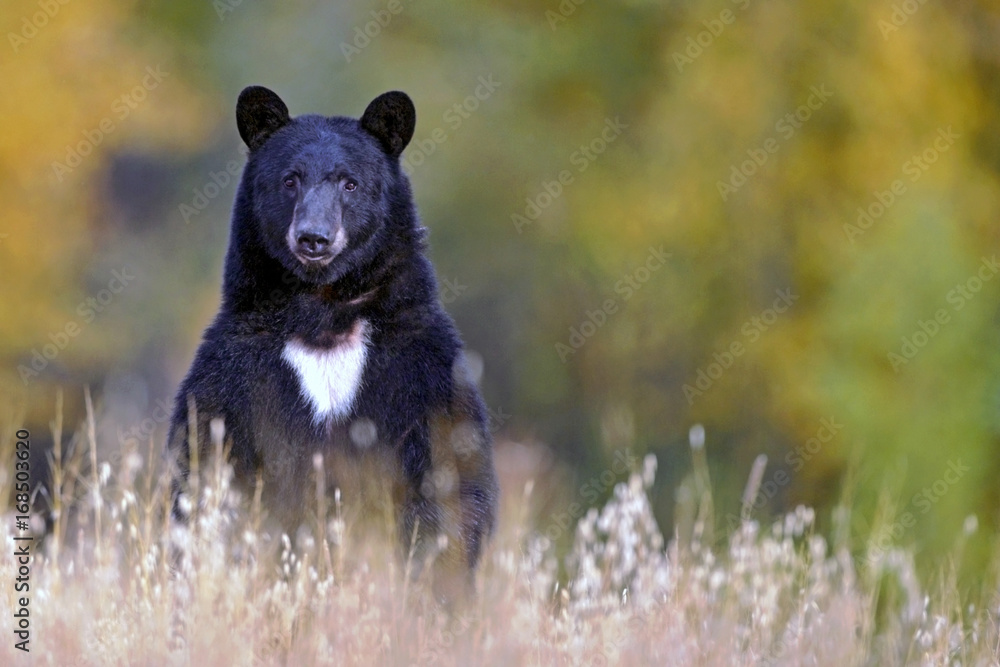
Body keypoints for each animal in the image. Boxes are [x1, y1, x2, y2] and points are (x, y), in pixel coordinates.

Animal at [167, 86, 499, 584]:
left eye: (350, 183)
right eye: (290, 180)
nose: (313, 238)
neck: (322, 314)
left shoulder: (419, 364)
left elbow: (449, 476)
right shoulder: (236, 370)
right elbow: (208, 466)